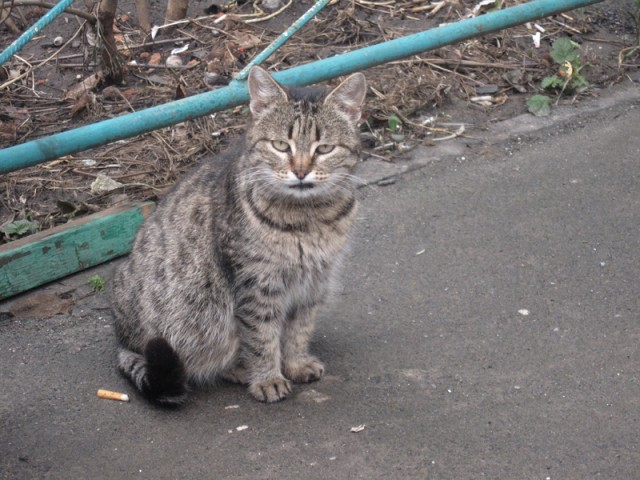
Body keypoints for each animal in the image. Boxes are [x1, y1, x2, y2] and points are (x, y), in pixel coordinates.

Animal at [110, 66, 367, 405]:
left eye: (324, 148)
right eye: (281, 146)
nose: (300, 172)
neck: (308, 217)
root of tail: (123, 339)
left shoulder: (313, 283)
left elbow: (299, 331)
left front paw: (296, 364)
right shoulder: (256, 285)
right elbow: (261, 338)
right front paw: (268, 378)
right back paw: (239, 369)